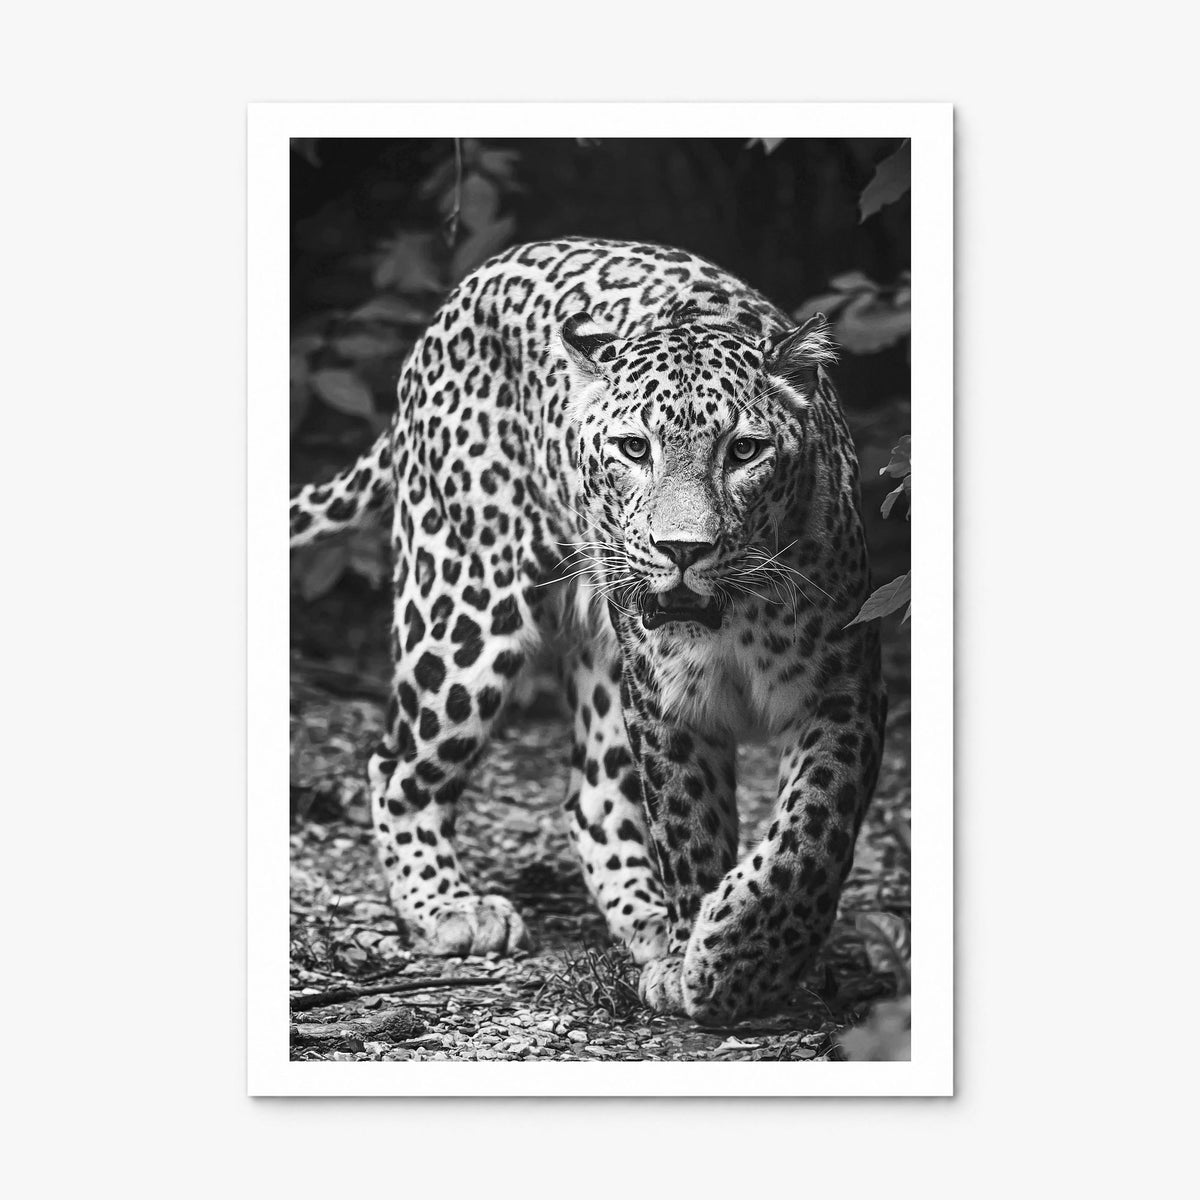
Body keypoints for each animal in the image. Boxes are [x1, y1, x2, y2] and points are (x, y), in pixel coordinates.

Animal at [289, 237, 887, 1025]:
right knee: (396, 765)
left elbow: (811, 833)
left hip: (601, 658)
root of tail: (460, 294)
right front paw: (707, 961)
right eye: (634, 450)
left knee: (593, 799)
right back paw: (452, 908)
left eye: (744, 451)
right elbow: (690, 830)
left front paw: (738, 957)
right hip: (463, 612)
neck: (736, 616)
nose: (682, 549)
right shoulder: (665, 703)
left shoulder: (844, 690)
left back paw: (646, 923)